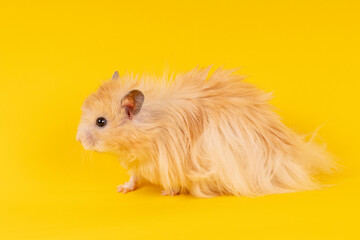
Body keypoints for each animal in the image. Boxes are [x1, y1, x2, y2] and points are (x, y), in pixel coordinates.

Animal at [76, 66, 334, 198]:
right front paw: (122, 189)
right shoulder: (138, 163)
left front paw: (168, 193)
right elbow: (133, 178)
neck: (147, 128)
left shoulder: (169, 161)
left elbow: (172, 179)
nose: (78, 140)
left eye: (101, 122)